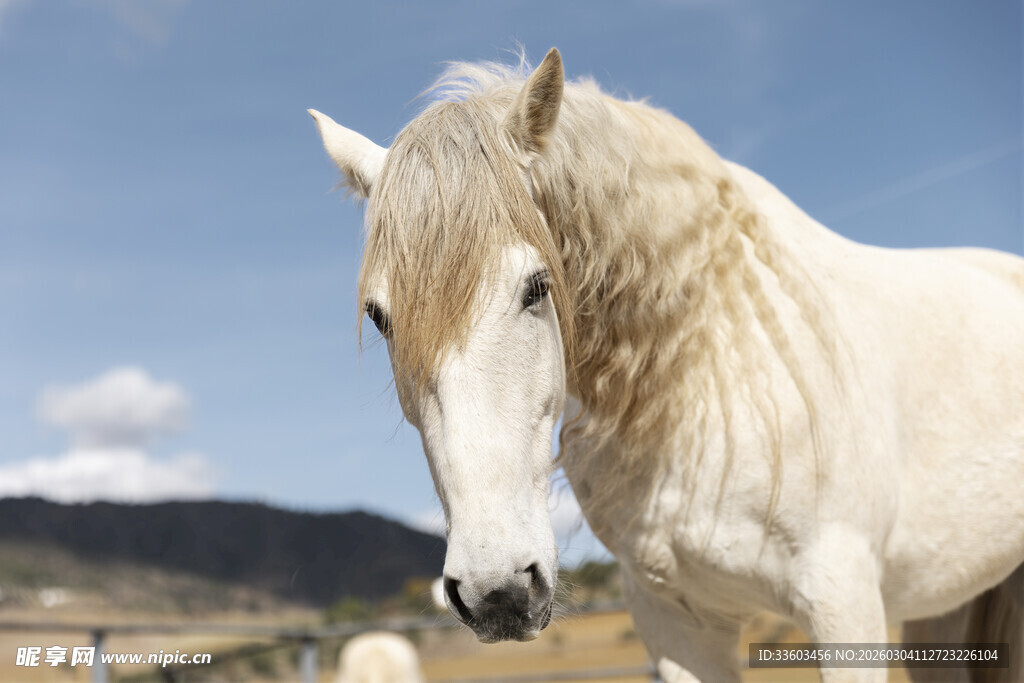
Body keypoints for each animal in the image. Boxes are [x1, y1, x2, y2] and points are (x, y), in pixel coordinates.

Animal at [310, 48, 1024, 682]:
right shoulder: (677, 623)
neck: (705, 374)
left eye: (538, 286)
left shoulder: (844, 605)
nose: (498, 593)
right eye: (380, 316)